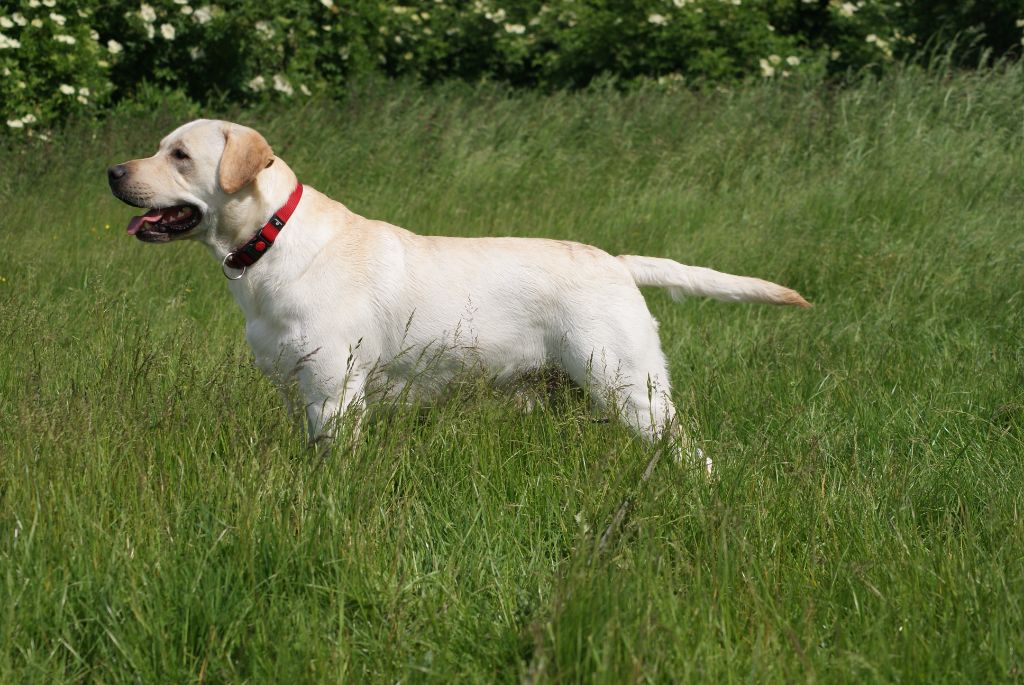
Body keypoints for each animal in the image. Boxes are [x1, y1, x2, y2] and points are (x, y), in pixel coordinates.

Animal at [108, 119, 809, 469]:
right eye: (160, 148)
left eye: (179, 155)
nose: (113, 171)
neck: (273, 242)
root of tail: (617, 262)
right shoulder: (295, 389)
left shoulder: (336, 394)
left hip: (630, 388)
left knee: (694, 456)